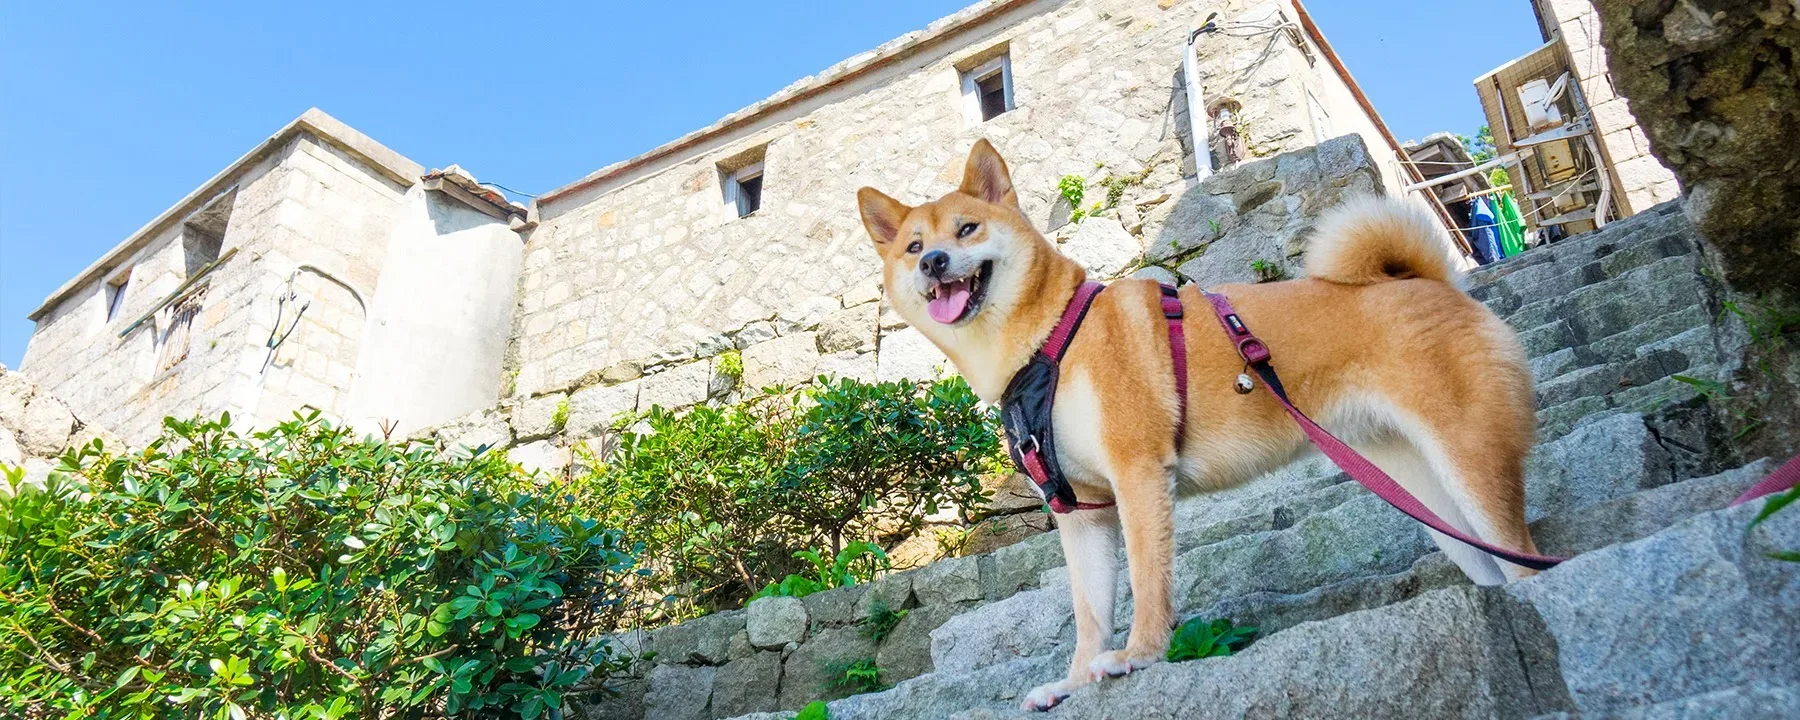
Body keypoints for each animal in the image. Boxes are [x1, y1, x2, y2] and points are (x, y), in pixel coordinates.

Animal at [849, 139, 1540, 709]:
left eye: (967, 229)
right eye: (913, 247)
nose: (935, 263)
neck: (1045, 344)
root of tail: (1429, 280)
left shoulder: (1138, 475)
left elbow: (1148, 586)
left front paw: (1136, 657)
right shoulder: (1082, 511)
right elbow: (1089, 614)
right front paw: (1070, 684)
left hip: (1472, 464)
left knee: (1527, 561)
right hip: (1431, 497)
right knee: (1492, 564)